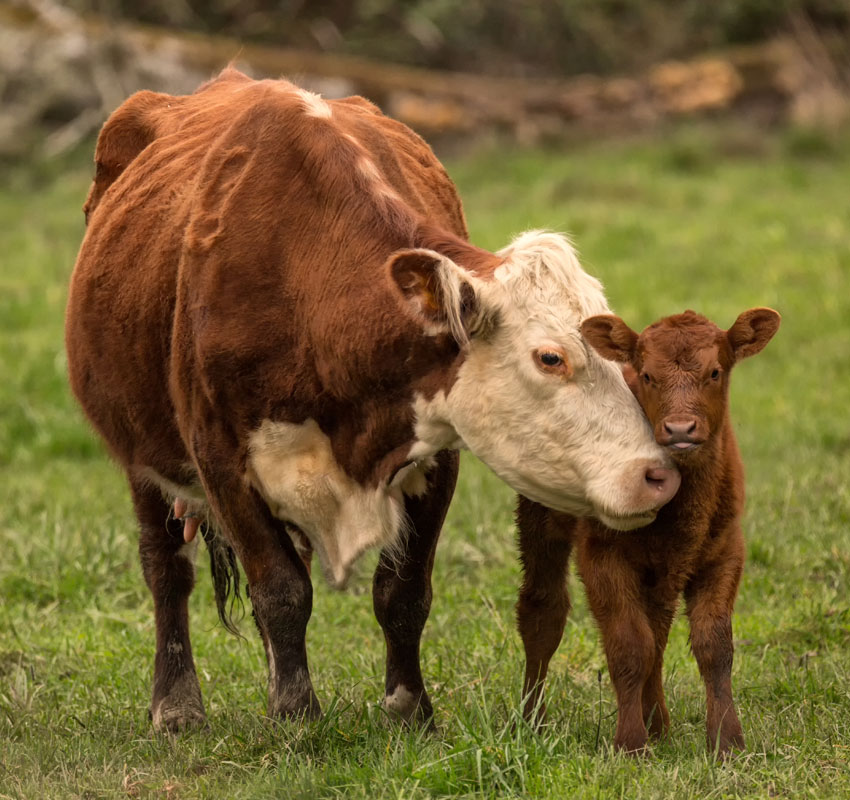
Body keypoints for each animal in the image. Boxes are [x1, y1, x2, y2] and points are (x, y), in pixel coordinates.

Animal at [65, 68, 680, 732]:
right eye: (551, 357)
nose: (657, 475)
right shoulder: (221, 460)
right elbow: (280, 590)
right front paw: (296, 715)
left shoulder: (436, 452)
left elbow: (402, 591)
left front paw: (409, 707)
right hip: (143, 456)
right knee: (166, 569)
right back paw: (177, 704)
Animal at [515, 307, 781, 756]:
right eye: (647, 375)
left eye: (714, 372)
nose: (680, 429)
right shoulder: (602, 553)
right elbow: (628, 645)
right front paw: (630, 743)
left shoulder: (725, 551)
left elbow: (713, 646)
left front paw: (727, 741)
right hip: (540, 518)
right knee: (543, 613)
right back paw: (532, 720)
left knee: (657, 629)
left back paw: (658, 722)